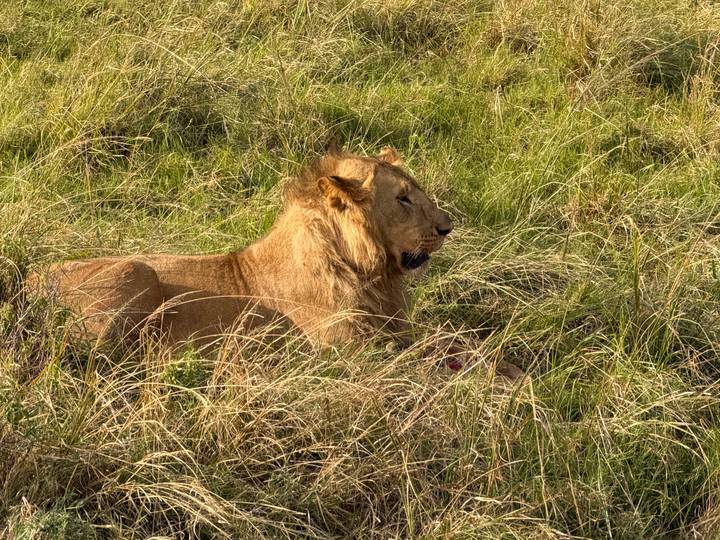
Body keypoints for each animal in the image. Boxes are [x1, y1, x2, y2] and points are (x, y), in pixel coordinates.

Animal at [28, 145, 523, 379]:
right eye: (402, 199)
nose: (448, 227)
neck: (371, 272)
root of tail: (26, 279)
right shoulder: (350, 355)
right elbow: (427, 364)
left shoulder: (393, 330)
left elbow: (451, 343)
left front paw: (509, 368)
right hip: (137, 271)